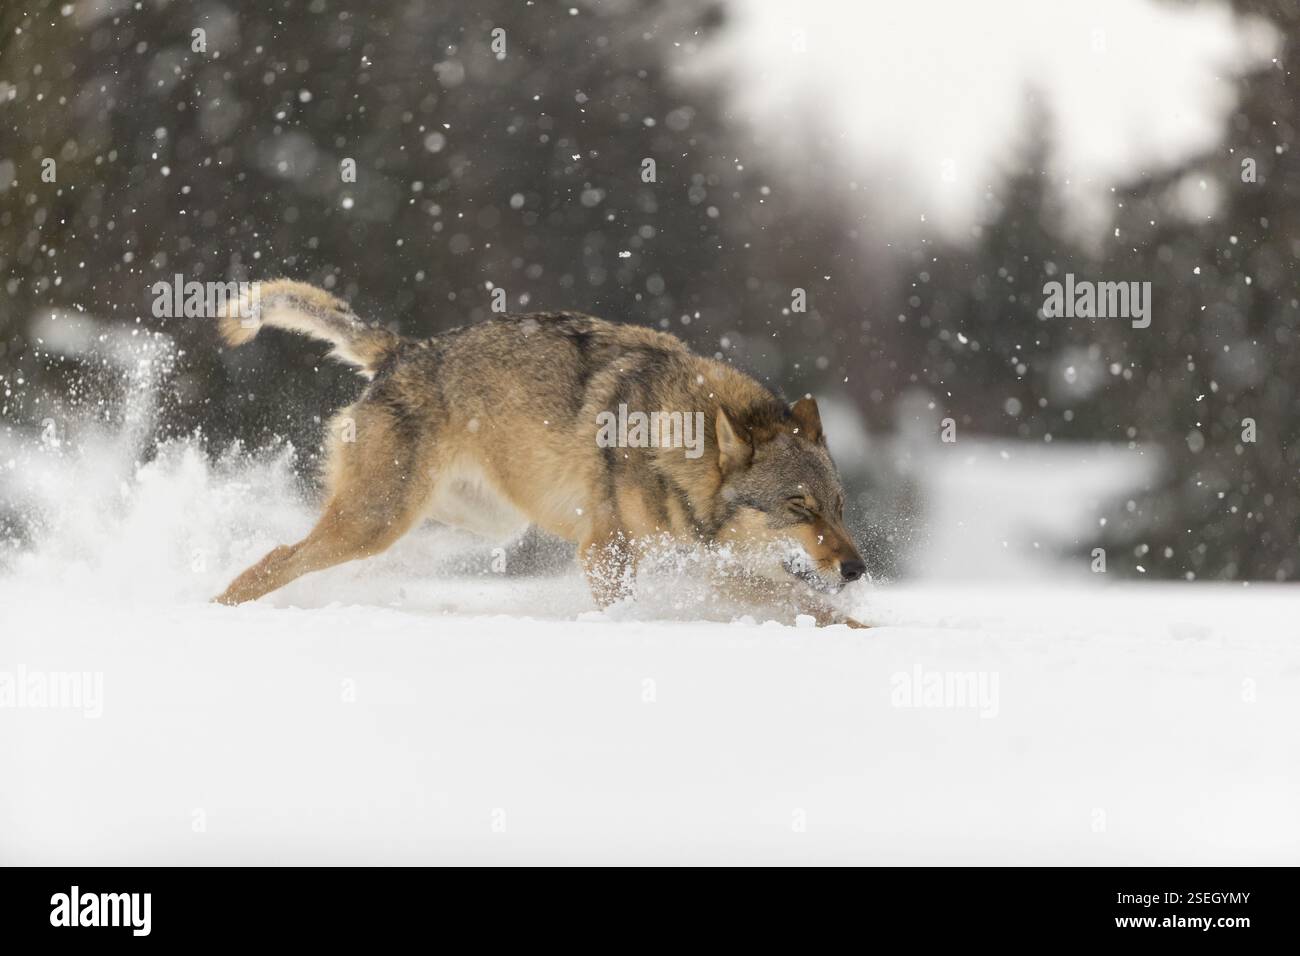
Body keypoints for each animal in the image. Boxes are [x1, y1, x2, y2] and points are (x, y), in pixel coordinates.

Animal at [213, 280, 868, 627]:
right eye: (799, 507)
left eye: (838, 507)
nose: (857, 569)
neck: (673, 446)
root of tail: (402, 350)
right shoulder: (606, 552)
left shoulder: (716, 571)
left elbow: (821, 611)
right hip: (379, 522)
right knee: (276, 556)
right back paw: (211, 610)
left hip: (467, 525)